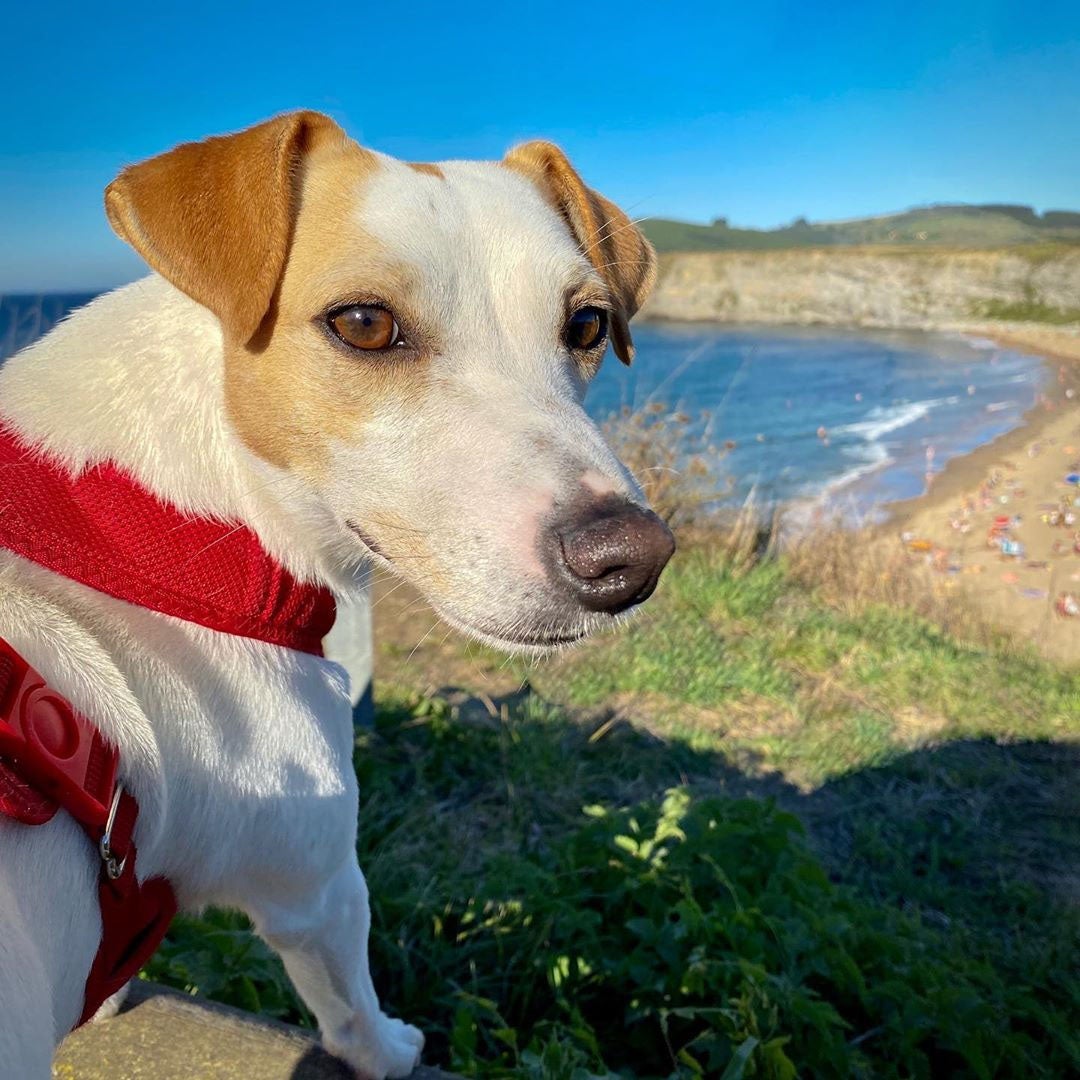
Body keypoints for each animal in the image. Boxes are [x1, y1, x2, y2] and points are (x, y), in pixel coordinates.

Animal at [0, 113, 669, 1075]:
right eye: (363, 323)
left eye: (586, 324)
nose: (632, 558)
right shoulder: (320, 885)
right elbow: (350, 1003)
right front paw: (390, 1050)